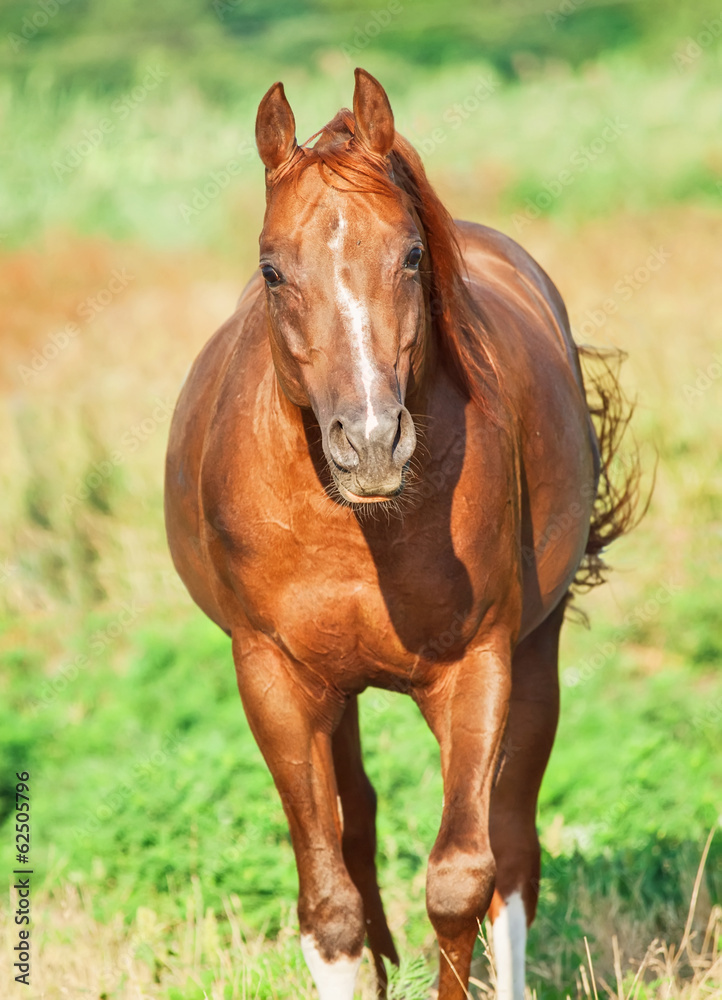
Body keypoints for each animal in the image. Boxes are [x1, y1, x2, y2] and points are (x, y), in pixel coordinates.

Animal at [165, 66, 636, 996]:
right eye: (272, 269)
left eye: (412, 254)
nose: (373, 440)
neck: (359, 528)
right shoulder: (274, 678)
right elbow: (332, 907)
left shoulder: (478, 668)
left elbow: (461, 880)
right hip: (333, 693)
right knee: (358, 830)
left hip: (534, 658)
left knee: (512, 852)